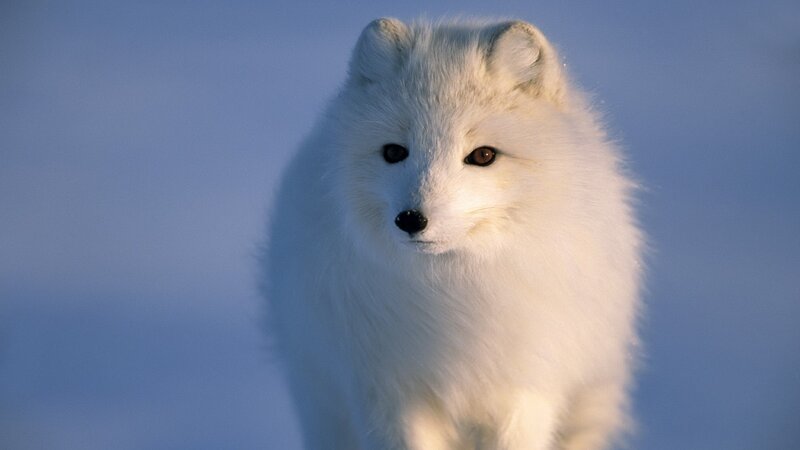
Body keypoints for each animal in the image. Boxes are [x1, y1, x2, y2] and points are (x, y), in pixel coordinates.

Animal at [263, 18, 644, 450]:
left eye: (483, 155)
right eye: (394, 152)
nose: (411, 219)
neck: (456, 290)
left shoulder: (523, 392)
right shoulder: (390, 394)